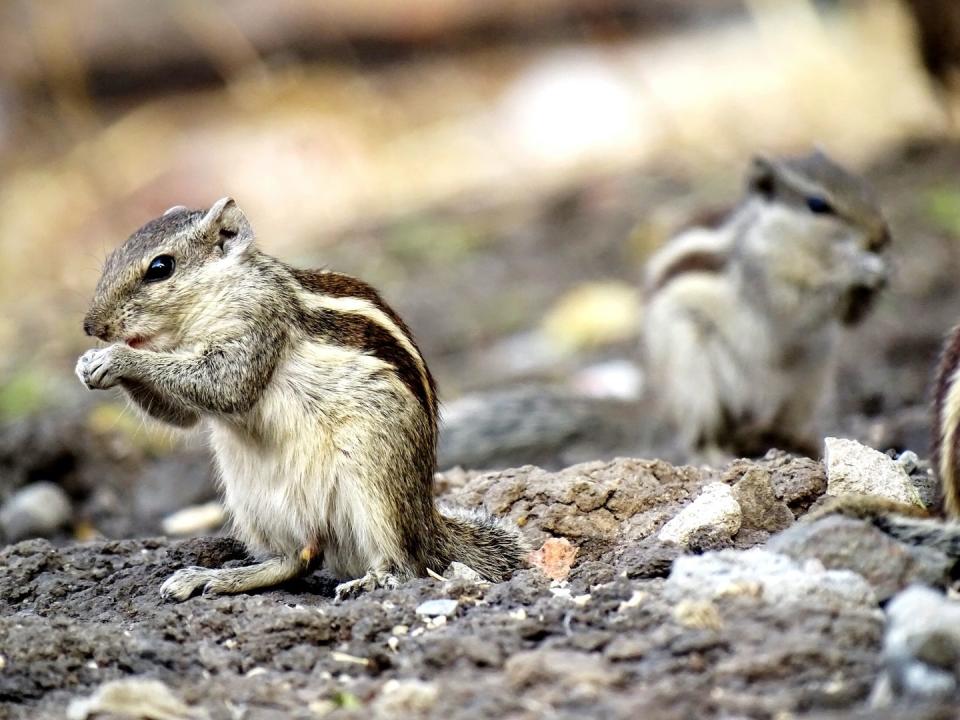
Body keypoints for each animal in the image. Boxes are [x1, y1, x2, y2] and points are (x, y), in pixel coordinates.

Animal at [75, 197, 524, 600]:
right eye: (112, 258)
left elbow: (226, 386)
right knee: (297, 558)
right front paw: (88, 364)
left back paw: (373, 579)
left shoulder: (257, 324)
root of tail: (426, 521)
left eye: (160, 268)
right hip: (254, 502)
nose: (91, 326)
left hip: (376, 482)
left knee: (404, 562)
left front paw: (117, 357)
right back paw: (212, 578)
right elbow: (185, 416)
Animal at [640, 149, 888, 458]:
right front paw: (855, 270)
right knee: (702, 434)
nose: (881, 237)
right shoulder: (762, 278)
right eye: (818, 204)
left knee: (781, 423)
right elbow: (796, 307)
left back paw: (795, 443)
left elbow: (848, 318)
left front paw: (879, 279)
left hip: (812, 373)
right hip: (692, 371)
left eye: (862, 186)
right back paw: (717, 454)